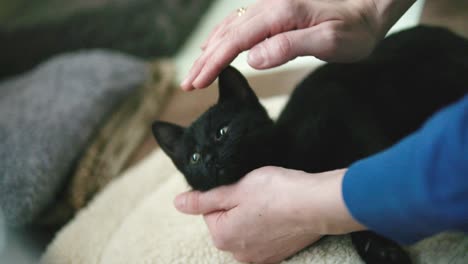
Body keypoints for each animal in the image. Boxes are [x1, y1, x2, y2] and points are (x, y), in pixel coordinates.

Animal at [152, 26, 468, 264]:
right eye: (193, 157)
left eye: (222, 131)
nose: (208, 158)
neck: (285, 154)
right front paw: (380, 250)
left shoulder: (346, 114)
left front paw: (381, 246)